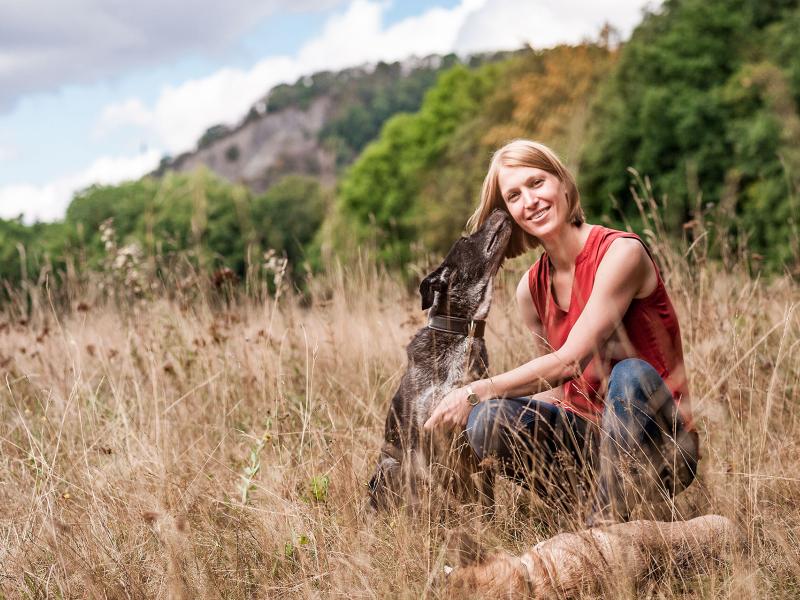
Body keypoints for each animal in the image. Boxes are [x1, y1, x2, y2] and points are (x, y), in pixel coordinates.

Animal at [368, 210, 512, 510]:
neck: (459, 332)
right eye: (465, 239)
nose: (500, 210)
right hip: (389, 465)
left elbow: (485, 502)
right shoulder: (422, 441)